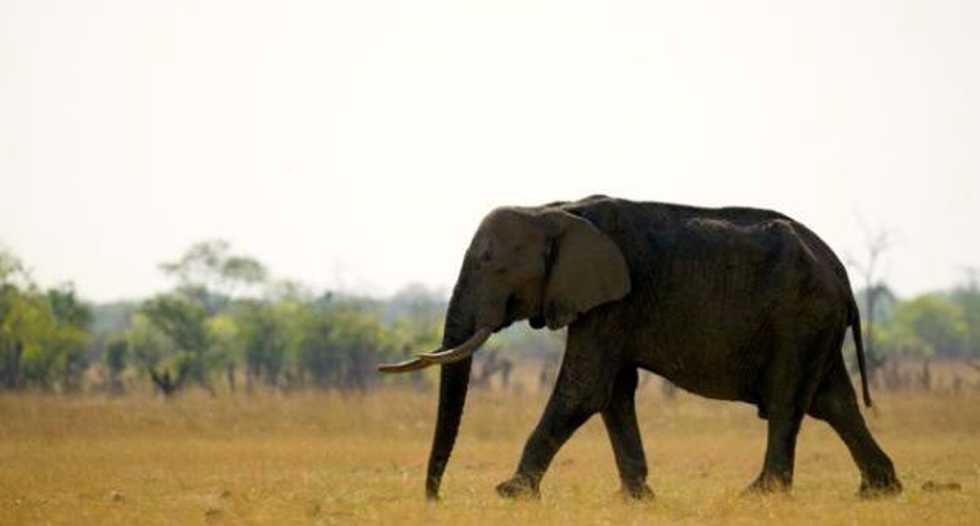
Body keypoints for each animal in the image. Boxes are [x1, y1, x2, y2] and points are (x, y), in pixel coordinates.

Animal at [379, 195, 901, 500]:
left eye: (491, 263)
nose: (435, 497)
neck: (555, 208)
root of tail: (843, 275)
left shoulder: (615, 300)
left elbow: (584, 389)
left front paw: (510, 493)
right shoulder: (608, 305)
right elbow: (612, 391)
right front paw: (637, 497)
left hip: (798, 317)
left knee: (789, 401)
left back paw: (761, 494)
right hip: (815, 323)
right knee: (833, 401)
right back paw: (880, 490)